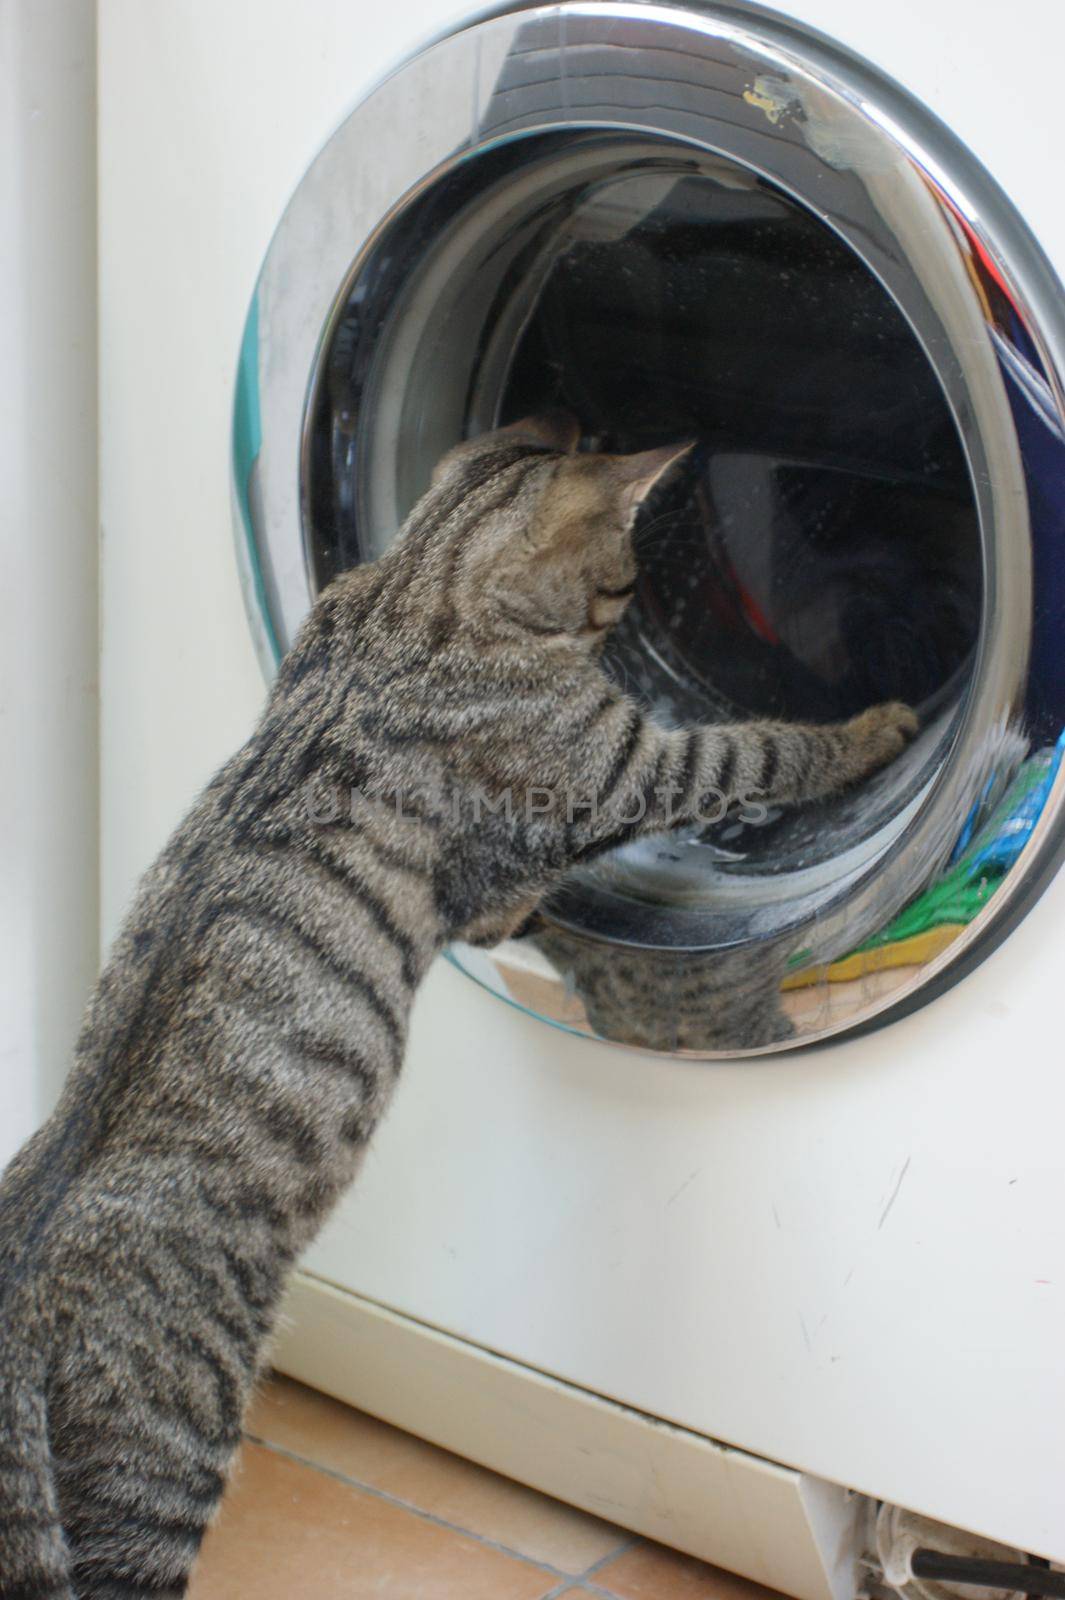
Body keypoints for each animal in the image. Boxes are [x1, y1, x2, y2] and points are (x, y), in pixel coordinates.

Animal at [0, 416, 914, 1600]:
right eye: (629, 576)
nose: (632, 621)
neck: (413, 587)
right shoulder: (623, 766)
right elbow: (764, 747)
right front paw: (875, 727)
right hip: (158, 1477)